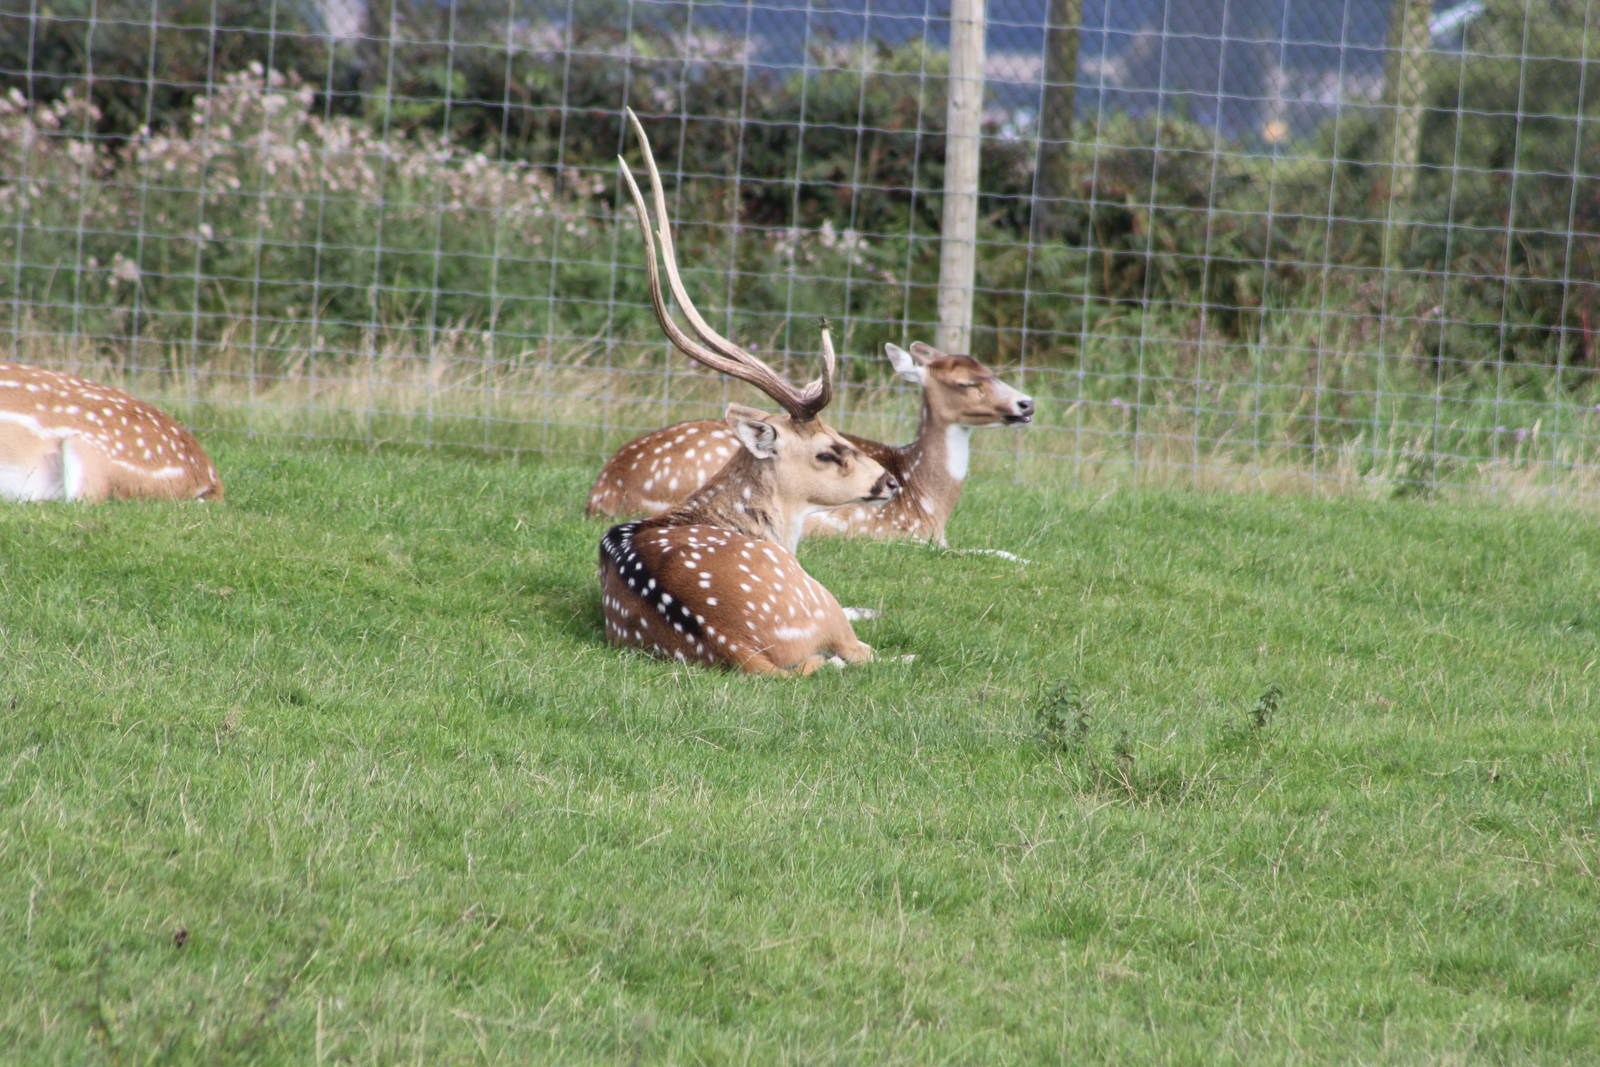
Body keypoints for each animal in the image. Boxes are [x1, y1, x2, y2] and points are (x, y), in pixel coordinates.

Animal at [586, 340, 1034, 545]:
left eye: (991, 370)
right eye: (967, 383)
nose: (1026, 404)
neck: (929, 501)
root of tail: (603, 493)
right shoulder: (904, 536)